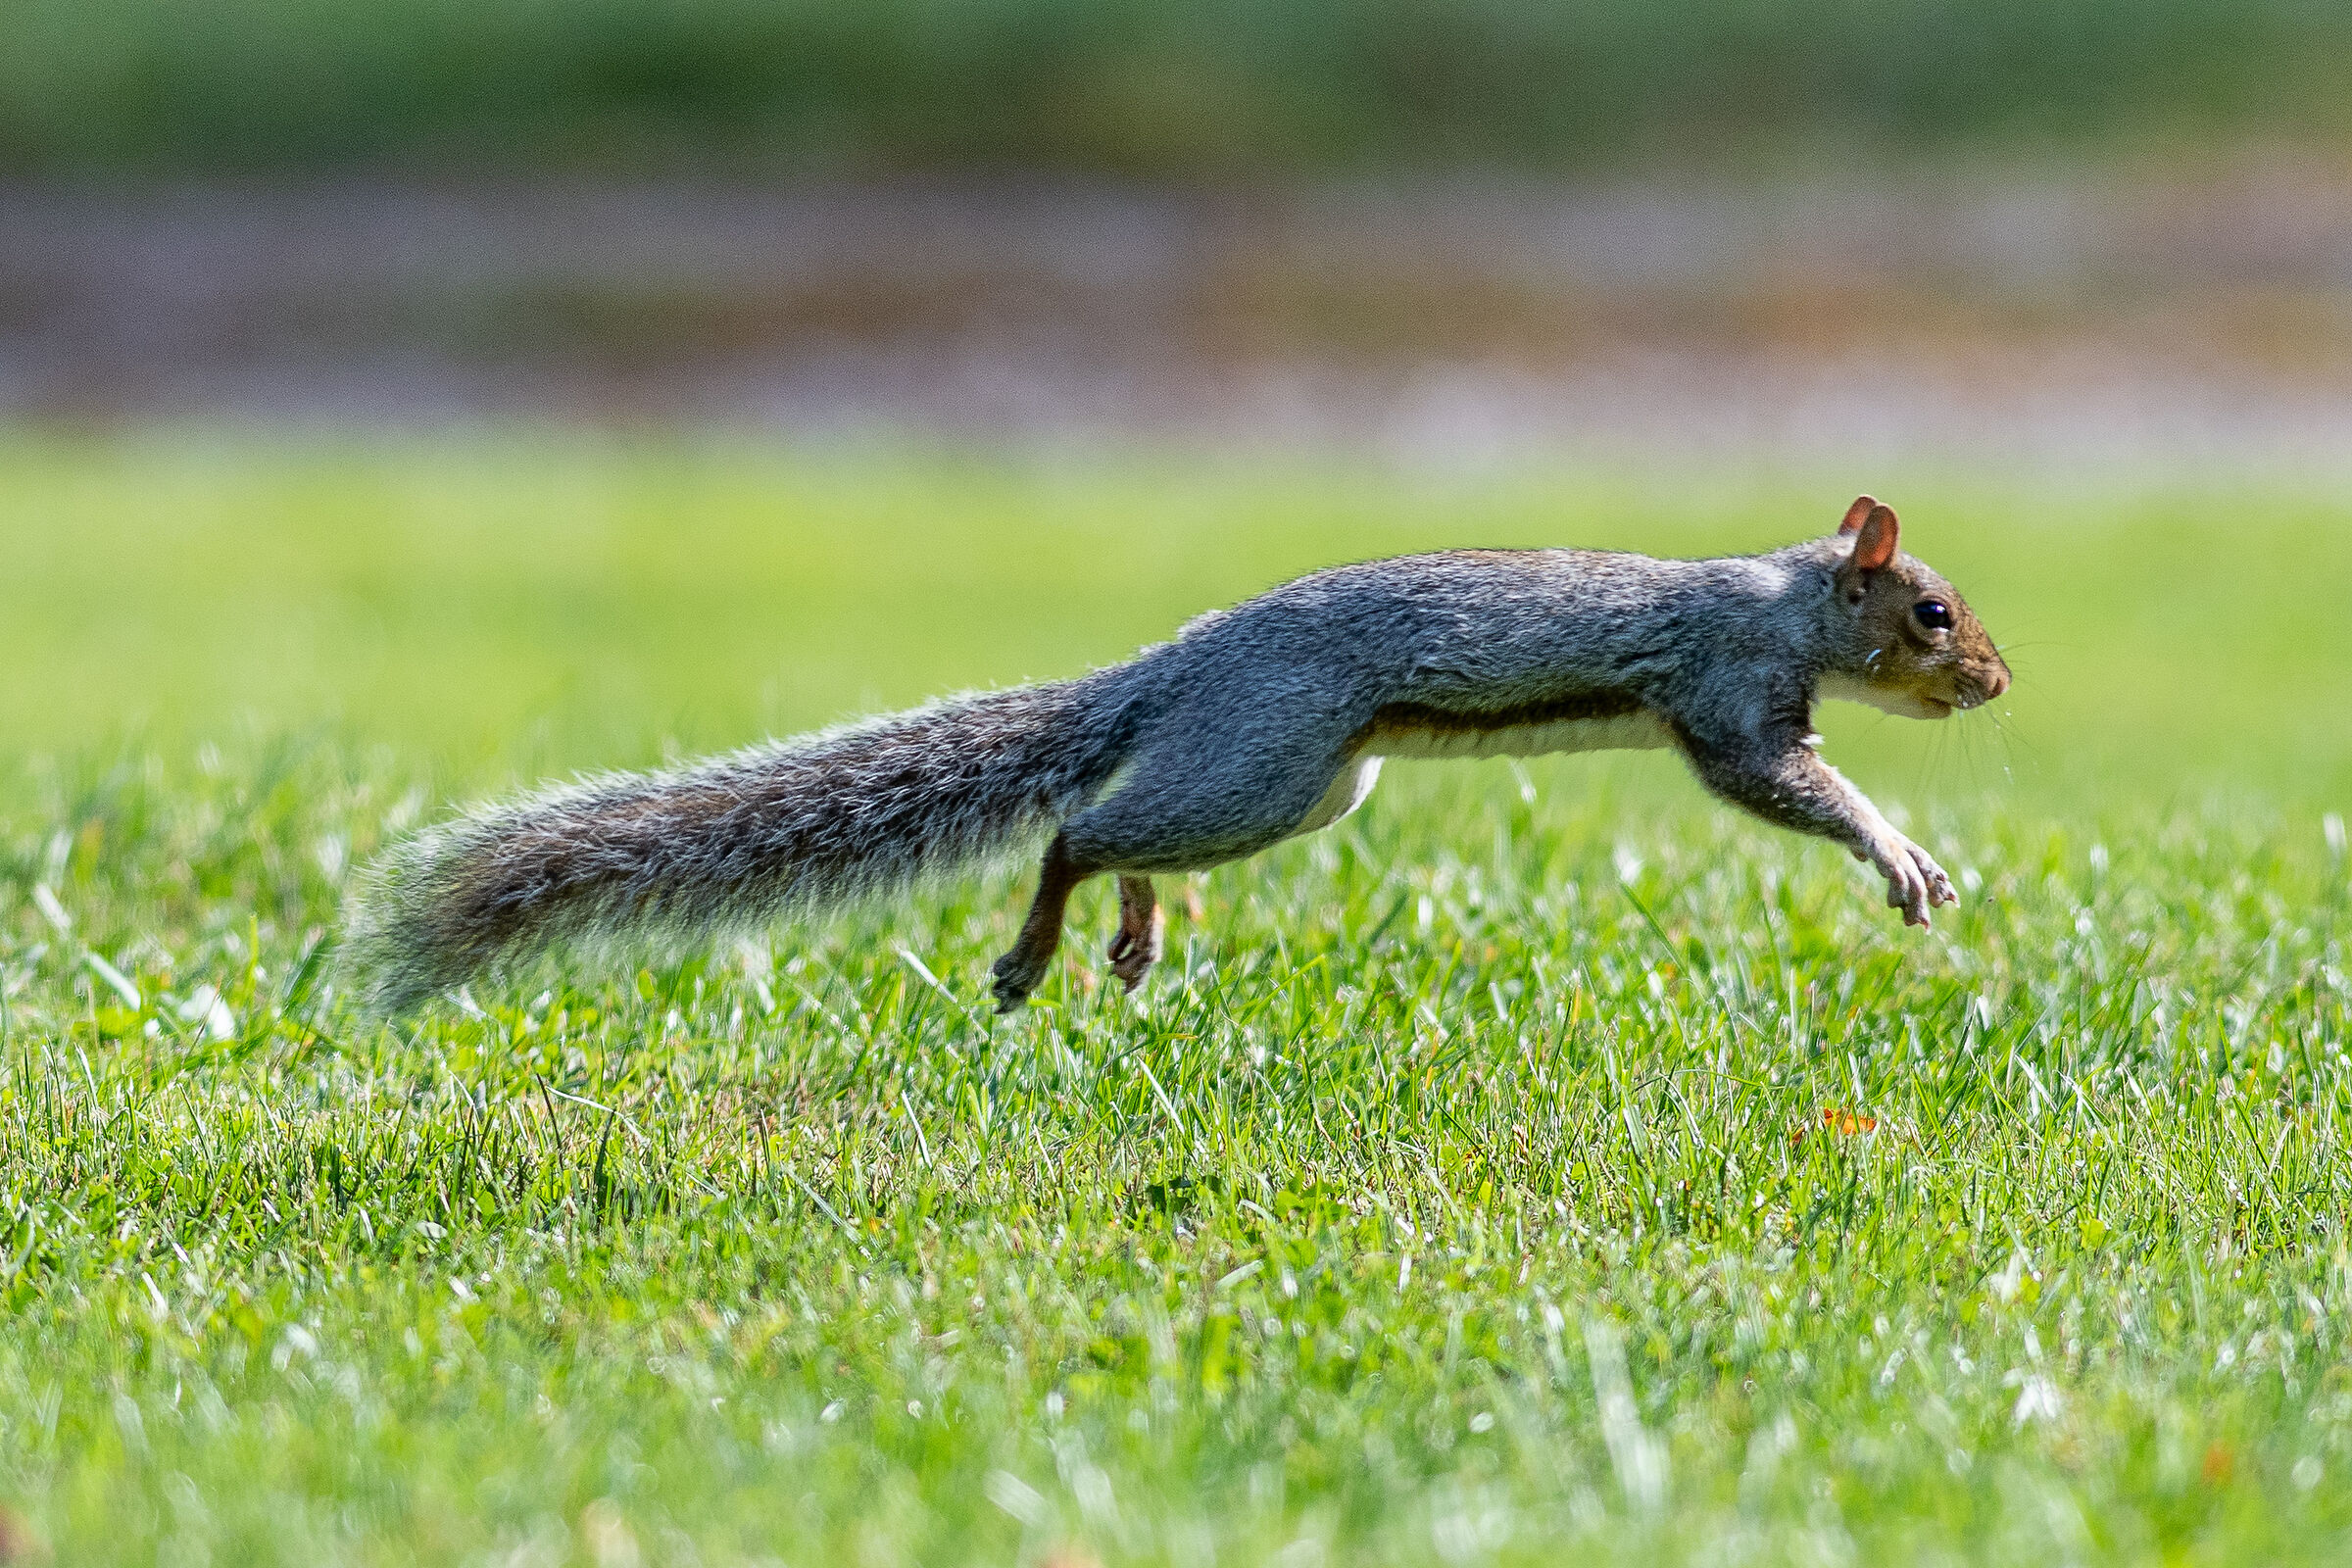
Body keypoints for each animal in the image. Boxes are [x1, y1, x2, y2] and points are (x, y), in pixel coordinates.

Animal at [342, 495, 2009, 1017]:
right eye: (1932, 611)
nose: (1996, 680)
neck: (1781, 598)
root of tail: (1172, 671)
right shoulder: (1728, 695)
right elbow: (1786, 784)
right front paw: (1902, 855)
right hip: (1267, 766)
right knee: (1073, 833)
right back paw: (1033, 953)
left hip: (1307, 790)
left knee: (1119, 832)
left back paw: (1133, 938)